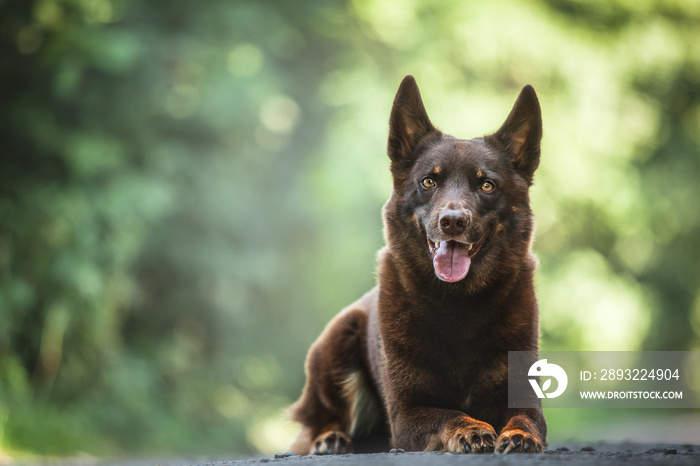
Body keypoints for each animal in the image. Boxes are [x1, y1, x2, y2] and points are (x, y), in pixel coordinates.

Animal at [288, 75, 548, 456]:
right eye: (429, 181)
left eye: (486, 185)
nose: (452, 221)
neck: (458, 304)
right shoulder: (407, 413)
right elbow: (447, 414)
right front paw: (471, 428)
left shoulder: (523, 397)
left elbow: (526, 418)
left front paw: (520, 435)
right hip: (337, 343)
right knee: (319, 419)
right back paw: (331, 438)